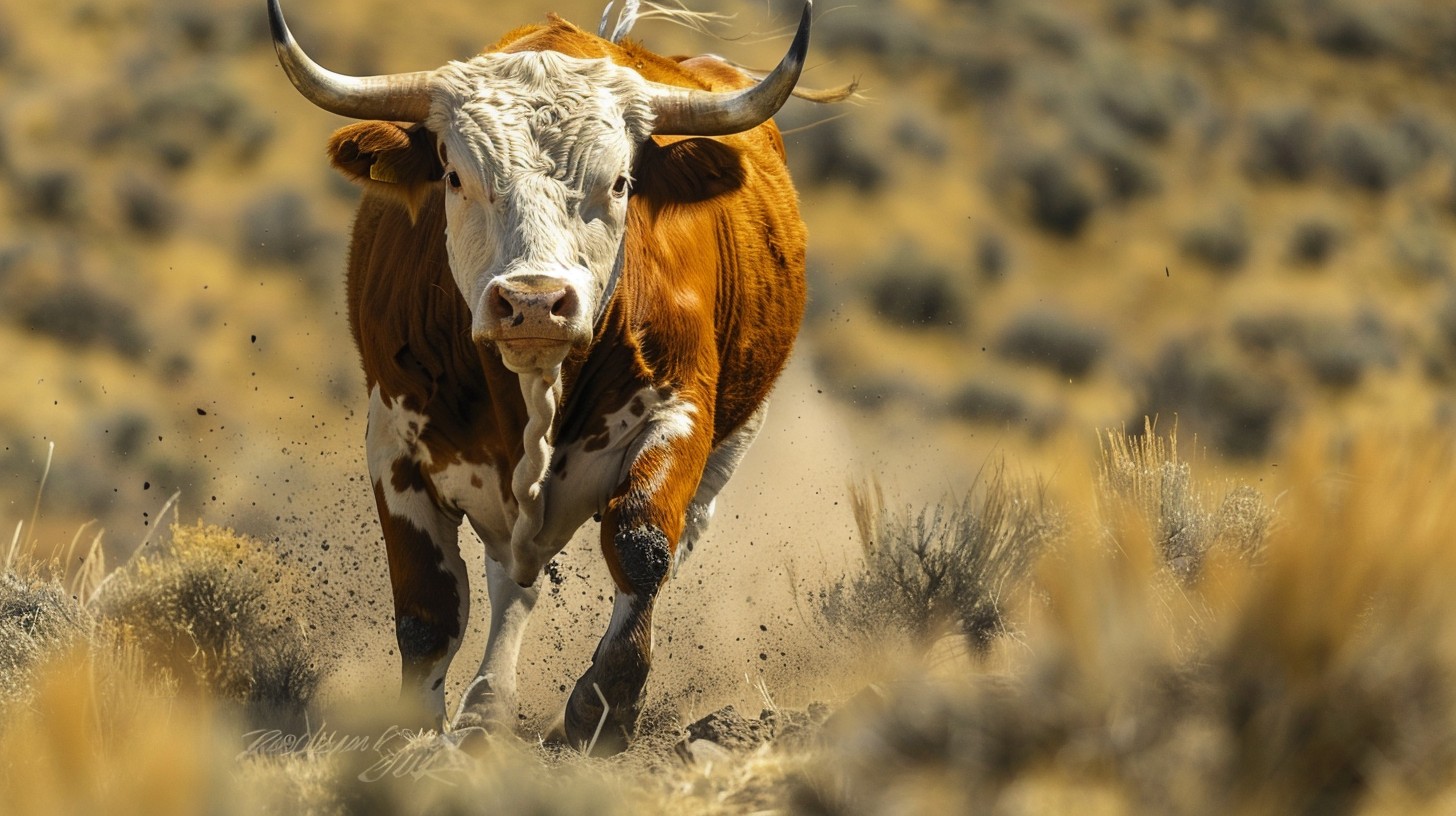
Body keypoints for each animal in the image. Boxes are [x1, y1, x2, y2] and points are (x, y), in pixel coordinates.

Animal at [267, 0, 837, 753]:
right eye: (456, 177)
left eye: (620, 182)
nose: (534, 301)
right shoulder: (393, 437)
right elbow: (428, 605)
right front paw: (416, 733)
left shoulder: (679, 411)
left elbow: (641, 543)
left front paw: (603, 706)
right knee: (511, 578)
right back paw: (487, 707)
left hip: (736, 437)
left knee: (676, 537)